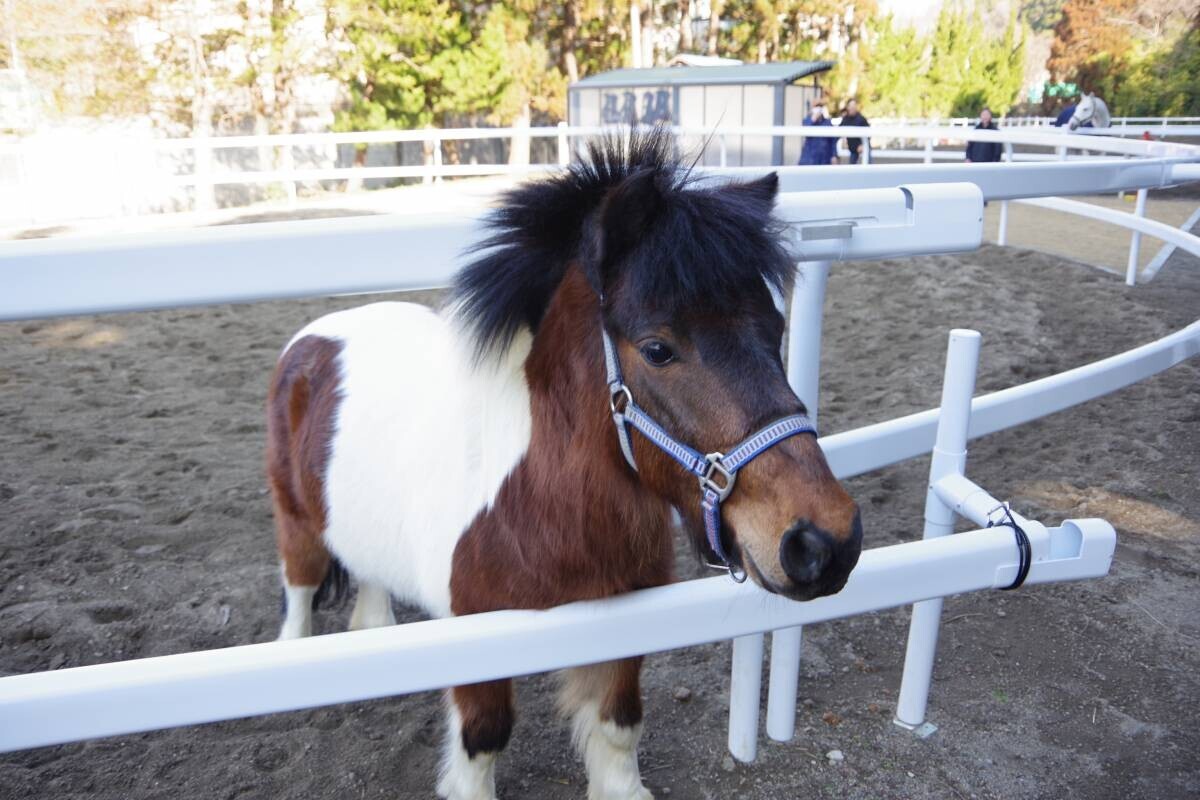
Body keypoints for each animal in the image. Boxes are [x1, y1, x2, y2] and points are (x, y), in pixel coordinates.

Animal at [265, 128, 864, 796]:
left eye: (775, 327)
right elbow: (483, 740)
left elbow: (618, 728)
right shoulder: (477, 638)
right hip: (296, 527)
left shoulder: (619, 621)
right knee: (298, 596)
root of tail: (319, 333)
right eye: (658, 349)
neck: (537, 504)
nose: (824, 542)